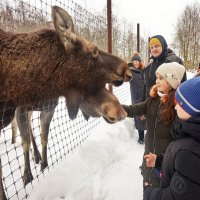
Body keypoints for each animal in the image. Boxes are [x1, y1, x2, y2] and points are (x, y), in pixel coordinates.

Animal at [0, 5, 132, 200]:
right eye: (93, 50)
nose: (127, 70)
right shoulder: (21, 108)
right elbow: (25, 142)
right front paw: (27, 176)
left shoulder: (46, 108)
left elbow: (43, 135)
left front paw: (43, 164)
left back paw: (37, 157)